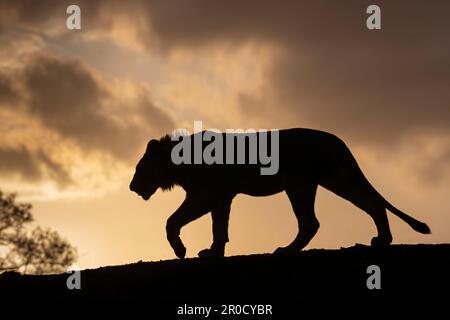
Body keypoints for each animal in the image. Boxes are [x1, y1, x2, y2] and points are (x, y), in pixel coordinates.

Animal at [129, 127, 428, 258]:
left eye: (140, 168)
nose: (132, 187)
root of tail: (336, 139)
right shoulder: (222, 197)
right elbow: (219, 228)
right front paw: (214, 253)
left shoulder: (205, 195)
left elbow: (172, 220)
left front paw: (180, 250)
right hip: (329, 180)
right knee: (371, 204)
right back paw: (382, 240)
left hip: (304, 184)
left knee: (313, 222)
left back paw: (286, 250)